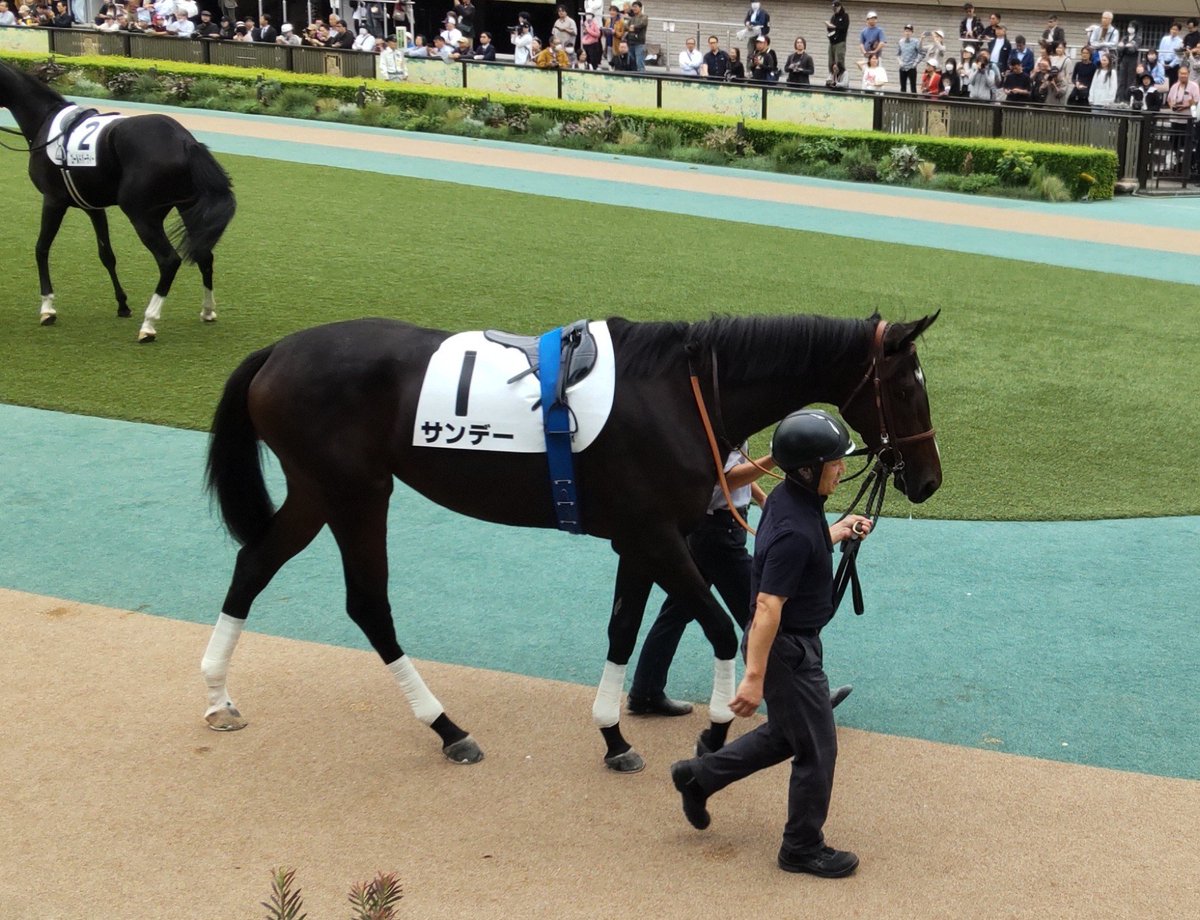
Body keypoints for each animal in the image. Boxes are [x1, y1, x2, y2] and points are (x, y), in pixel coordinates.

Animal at [0, 62, 235, 342]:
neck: (45, 124)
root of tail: (185, 141)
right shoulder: (93, 207)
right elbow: (106, 255)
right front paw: (122, 304)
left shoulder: (53, 201)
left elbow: (41, 248)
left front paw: (47, 308)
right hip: (187, 208)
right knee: (204, 254)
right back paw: (207, 310)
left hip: (142, 215)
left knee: (169, 260)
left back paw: (149, 324)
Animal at [203, 311, 941, 772]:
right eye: (908, 386)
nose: (929, 479)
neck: (680, 393)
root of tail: (277, 350)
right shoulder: (656, 535)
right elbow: (721, 629)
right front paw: (713, 729)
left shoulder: (639, 540)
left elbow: (623, 631)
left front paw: (614, 736)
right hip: (355, 494)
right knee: (367, 604)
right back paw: (448, 728)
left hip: (318, 491)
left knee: (255, 562)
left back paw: (218, 695)